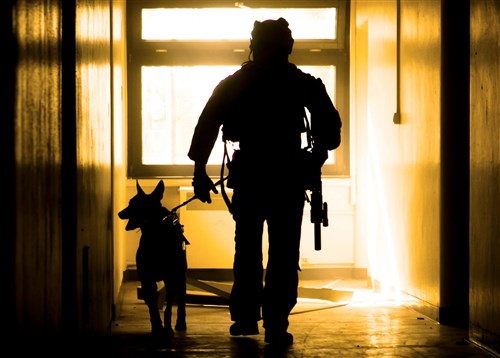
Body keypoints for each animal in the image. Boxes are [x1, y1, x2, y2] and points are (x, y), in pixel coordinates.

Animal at [118, 180, 188, 340]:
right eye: (130, 202)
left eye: (135, 204)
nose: (119, 213)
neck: (155, 234)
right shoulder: (146, 278)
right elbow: (152, 305)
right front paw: (157, 328)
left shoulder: (170, 278)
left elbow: (168, 307)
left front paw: (167, 328)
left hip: (180, 274)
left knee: (181, 296)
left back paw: (181, 322)